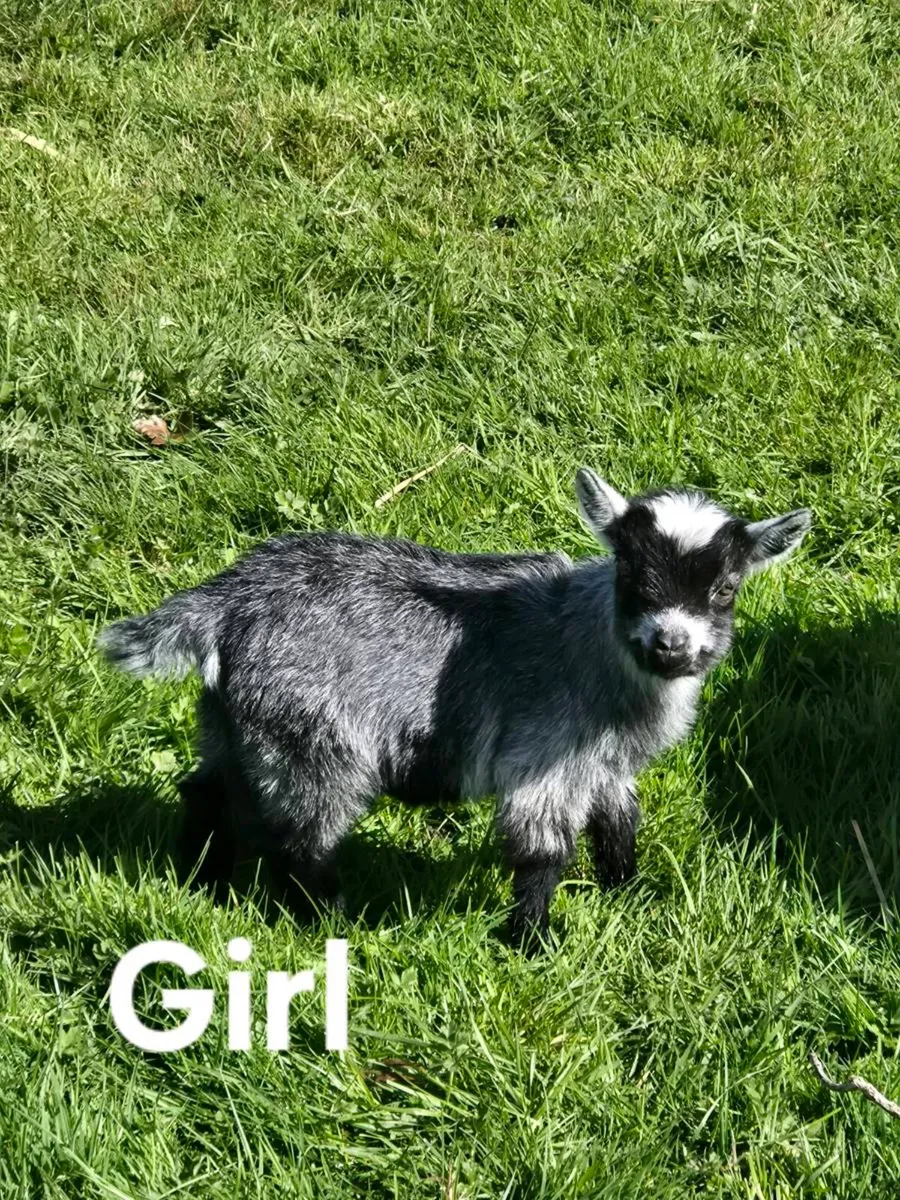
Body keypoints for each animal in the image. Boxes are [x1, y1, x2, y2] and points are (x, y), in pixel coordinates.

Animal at [98, 470, 811, 949]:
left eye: (725, 588)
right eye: (632, 576)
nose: (670, 644)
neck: (589, 644)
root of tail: (226, 602)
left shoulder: (606, 765)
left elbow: (619, 823)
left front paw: (625, 891)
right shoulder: (543, 753)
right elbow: (542, 849)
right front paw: (530, 941)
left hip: (234, 722)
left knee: (208, 790)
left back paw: (204, 881)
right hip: (310, 736)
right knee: (302, 836)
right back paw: (332, 917)